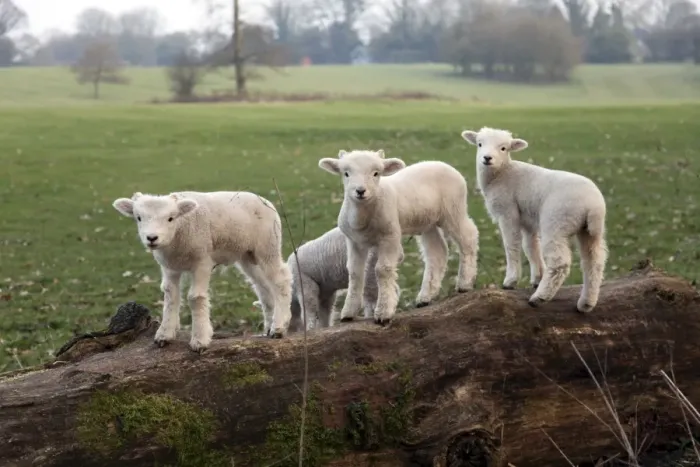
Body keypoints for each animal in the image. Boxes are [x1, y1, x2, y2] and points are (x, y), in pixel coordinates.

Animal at [111, 190, 293, 352]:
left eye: (171, 218)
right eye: (138, 218)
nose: (151, 238)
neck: (178, 234)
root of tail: (266, 201)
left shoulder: (203, 262)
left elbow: (195, 297)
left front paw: (200, 340)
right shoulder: (169, 267)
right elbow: (170, 295)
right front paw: (165, 334)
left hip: (268, 246)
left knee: (280, 280)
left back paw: (278, 327)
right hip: (247, 255)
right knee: (262, 286)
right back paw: (269, 326)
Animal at [318, 149, 480, 325]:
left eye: (376, 173)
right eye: (346, 173)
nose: (360, 191)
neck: (363, 218)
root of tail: (443, 163)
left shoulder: (390, 236)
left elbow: (382, 270)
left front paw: (383, 312)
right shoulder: (354, 241)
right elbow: (354, 272)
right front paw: (348, 312)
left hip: (453, 209)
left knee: (468, 237)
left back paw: (465, 283)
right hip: (427, 222)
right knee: (437, 253)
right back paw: (425, 297)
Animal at [460, 126, 608, 313]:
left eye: (504, 148)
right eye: (479, 144)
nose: (487, 158)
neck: (501, 174)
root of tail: (593, 206)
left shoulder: (508, 212)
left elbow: (511, 245)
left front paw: (511, 281)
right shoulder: (527, 220)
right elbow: (530, 247)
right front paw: (537, 277)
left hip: (556, 221)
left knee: (560, 262)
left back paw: (540, 297)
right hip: (590, 230)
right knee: (594, 262)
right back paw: (586, 303)